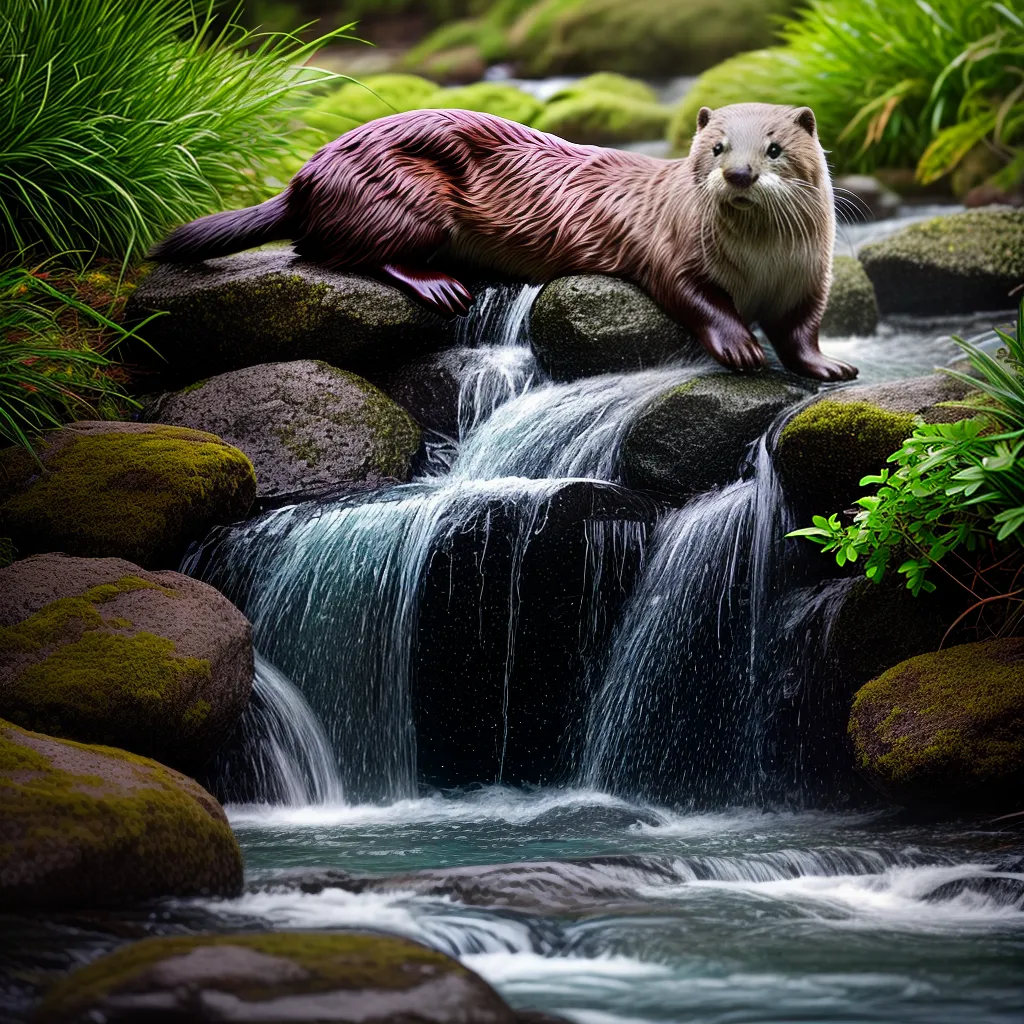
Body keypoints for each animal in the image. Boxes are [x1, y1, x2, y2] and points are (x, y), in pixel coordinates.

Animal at [151, 104, 856, 381]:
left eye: (774, 148)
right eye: (716, 147)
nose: (738, 173)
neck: (761, 265)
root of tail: (307, 173)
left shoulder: (810, 277)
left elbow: (801, 329)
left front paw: (828, 367)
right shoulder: (671, 250)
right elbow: (695, 298)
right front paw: (740, 346)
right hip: (406, 198)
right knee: (344, 251)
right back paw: (439, 284)